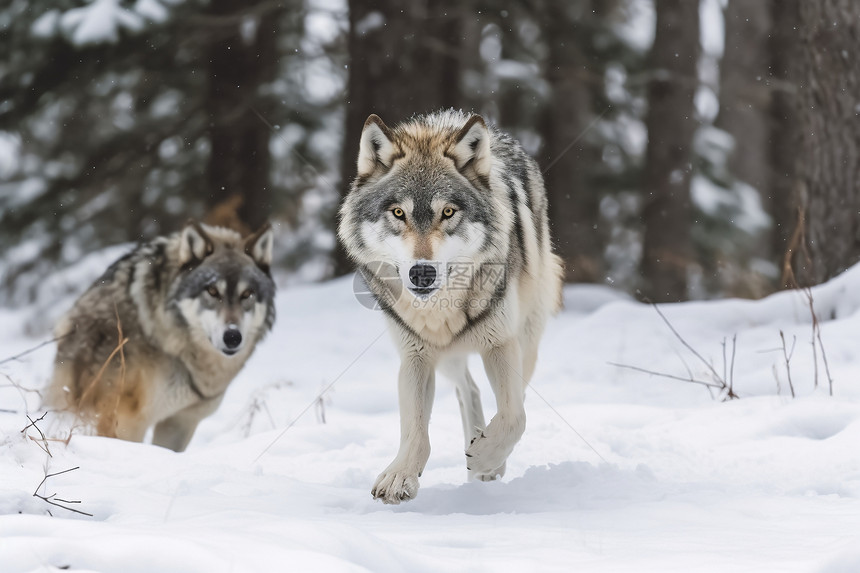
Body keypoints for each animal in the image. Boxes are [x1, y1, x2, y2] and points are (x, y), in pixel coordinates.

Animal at [340, 109, 568, 502]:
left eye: (447, 212)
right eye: (398, 212)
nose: (422, 273)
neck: (439, 311)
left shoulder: (500, 344)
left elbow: (514, 416)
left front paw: (486, 457)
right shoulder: (416, 355)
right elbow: (415, 431)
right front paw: (400, 476)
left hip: (526, 339)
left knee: (516, 398)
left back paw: (488, 461)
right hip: (448, 359)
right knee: (469, 388)